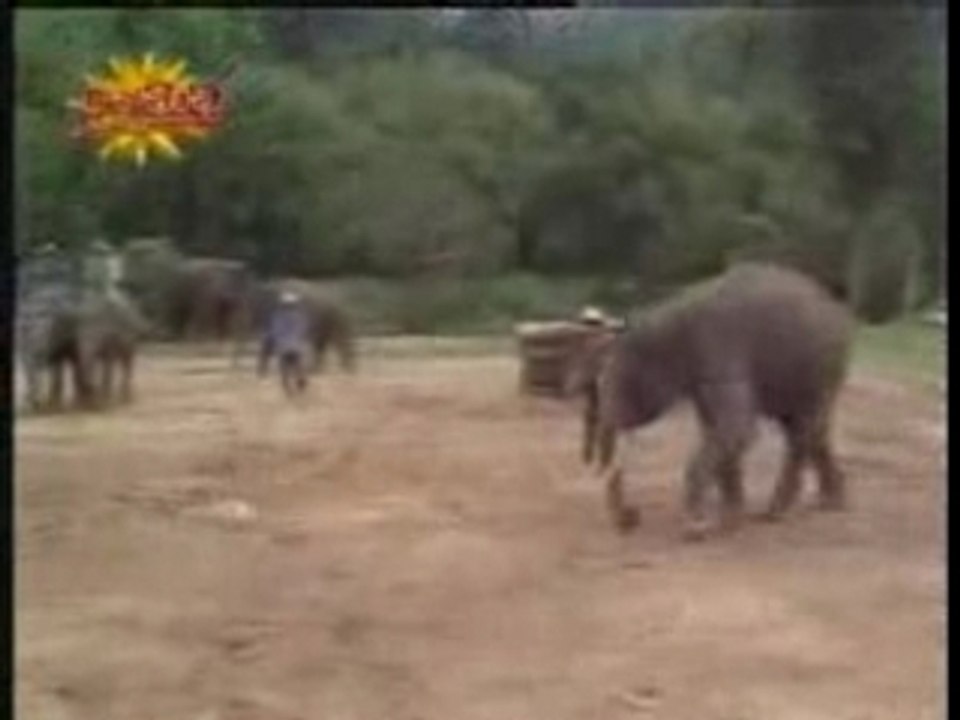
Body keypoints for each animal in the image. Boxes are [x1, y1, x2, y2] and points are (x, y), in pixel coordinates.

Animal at [566, 262, 855, 541]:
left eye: (616, 382)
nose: (630, 519)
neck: (667, 316)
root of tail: (836, 304)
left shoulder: (720, 354)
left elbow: (736, 428)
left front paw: (697, 529)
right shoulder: (702, 377)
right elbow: (717, 429)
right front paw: (730, 520)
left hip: (823, 366)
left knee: (802, 429)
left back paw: (776, 513)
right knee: (810, 428)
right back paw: (830, 502)